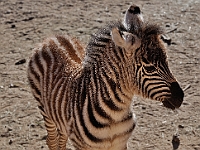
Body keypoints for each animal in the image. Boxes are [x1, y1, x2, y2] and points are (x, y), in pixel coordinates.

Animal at [27, 3, 184, 150]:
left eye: (167, 61)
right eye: (150, 68)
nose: (180, 97)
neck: (115, 114)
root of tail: (51, 38)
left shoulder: (120, 144)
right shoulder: (83, 146)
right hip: (45, 110)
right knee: (52, 140)